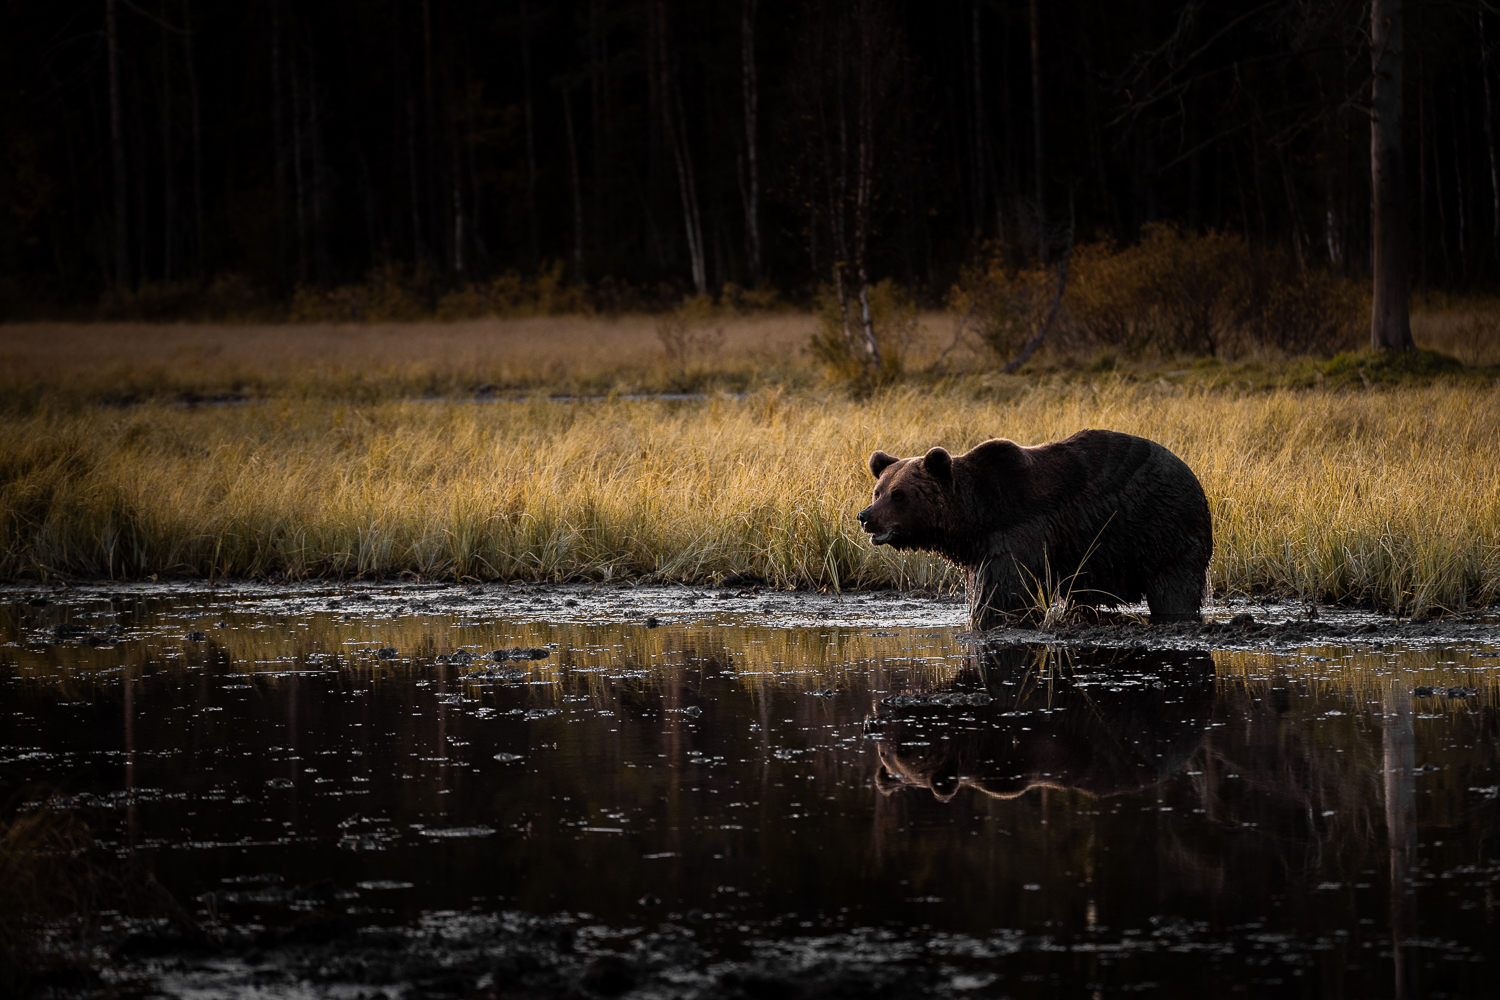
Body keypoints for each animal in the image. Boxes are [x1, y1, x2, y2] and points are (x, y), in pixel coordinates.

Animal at [857, 429, 1212, 629]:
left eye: (899, 495)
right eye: (878, 491)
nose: (865, 516)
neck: (976, 514)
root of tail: (1192, 476)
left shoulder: (1017, 533)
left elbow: (1004, 592)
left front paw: (991, 618)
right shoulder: (982, 548)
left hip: (1162, 527)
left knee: (1173, 586)